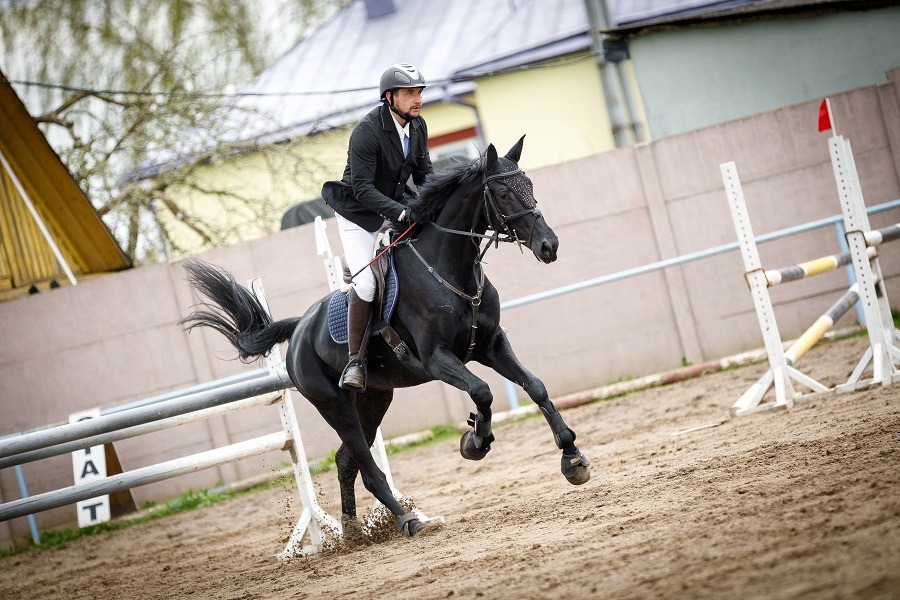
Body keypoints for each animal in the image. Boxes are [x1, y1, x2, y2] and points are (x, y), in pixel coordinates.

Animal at [183, 137, 592, 540]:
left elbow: (535, 386)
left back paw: (351, 533)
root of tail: (299, 329)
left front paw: (572, 457)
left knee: (345, 460)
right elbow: (482, 391)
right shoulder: (437, 359)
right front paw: (475, 441)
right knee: (365, 465)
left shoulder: (492, 345)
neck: (450, 269)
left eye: (530, 186)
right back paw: (405, 519)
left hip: (374, 399)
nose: (550, 246)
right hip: (334, 404)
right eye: (504, 193)